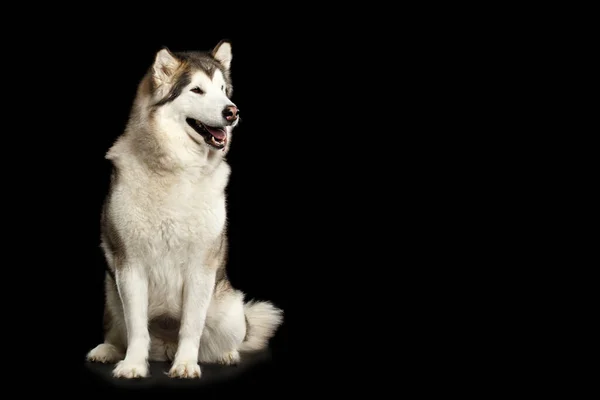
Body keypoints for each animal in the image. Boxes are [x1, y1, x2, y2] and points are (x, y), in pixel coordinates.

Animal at [85, 41, 284, 382]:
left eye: (223, 90)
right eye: (197, 90)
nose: (232, 112)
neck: (176, 168)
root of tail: (164, 347)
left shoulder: (200, 268)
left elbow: (191, 326)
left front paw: (186, 364)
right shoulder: (130, 267)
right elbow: (137, 327)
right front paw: (133, 364)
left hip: (229, 308)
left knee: (225, 338)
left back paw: (225, 354)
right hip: (111, 293)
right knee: (119, 330)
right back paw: (108, 350)